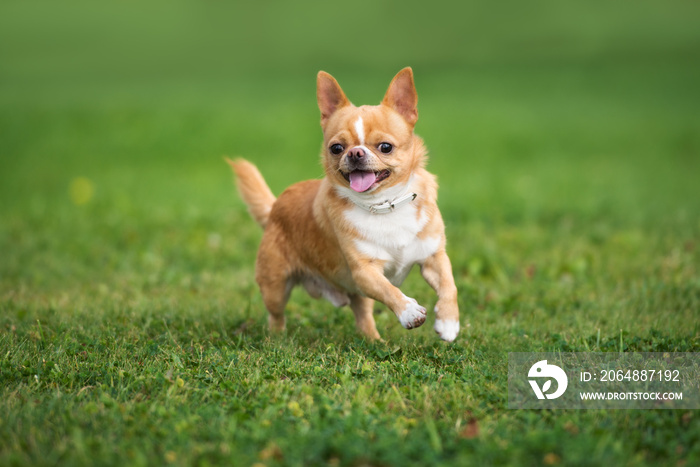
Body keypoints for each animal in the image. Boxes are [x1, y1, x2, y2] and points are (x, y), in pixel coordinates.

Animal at [228, 67, 460, 342]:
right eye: (336, 148)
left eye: (386, 147)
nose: (355, 153)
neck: (384, 205)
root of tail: (275, 206)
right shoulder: (364, 272)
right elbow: (389, 290)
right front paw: (409, 312)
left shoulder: (434, 257)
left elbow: (449, 285)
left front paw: (448, 322)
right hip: (275, 285)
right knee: (276, 315)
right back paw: (278, 339)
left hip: (356, 295)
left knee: (363, 316)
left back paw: (375, 341)